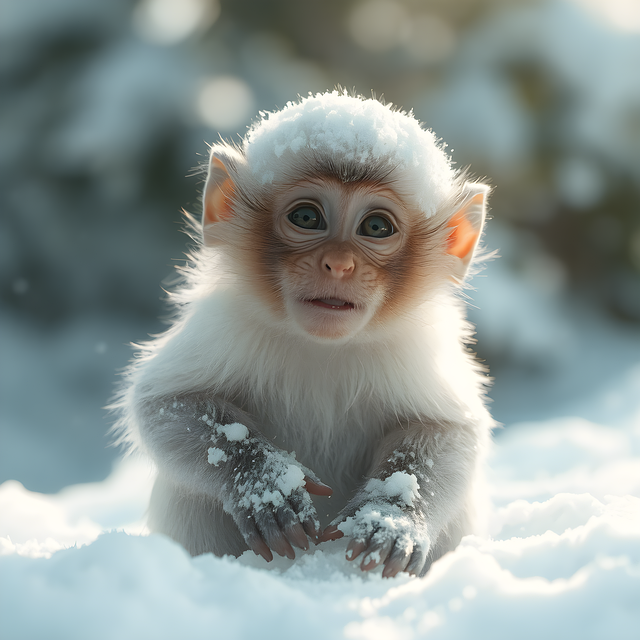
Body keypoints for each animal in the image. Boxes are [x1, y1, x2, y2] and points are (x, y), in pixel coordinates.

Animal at [112, 91, 494, 578]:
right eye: (307, 217)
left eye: (376, 227)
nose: (338, 264)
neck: (324, 348)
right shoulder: (223, 326)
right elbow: (165, 405)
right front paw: (265, 486)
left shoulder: (418, 352)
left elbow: (450, 433)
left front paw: (390, 517)